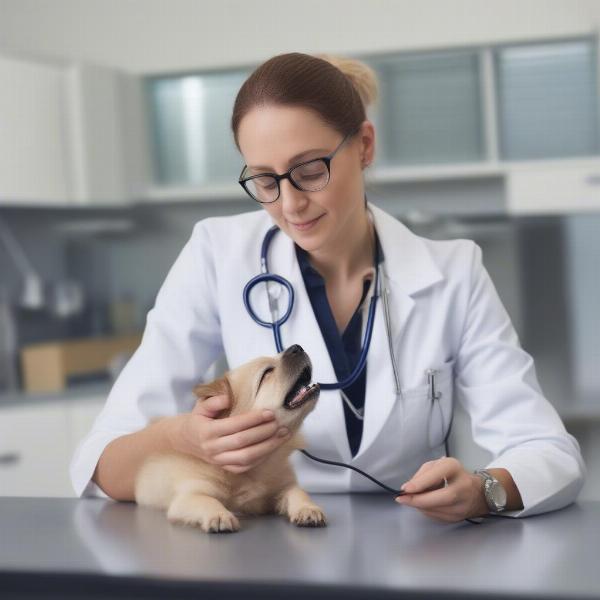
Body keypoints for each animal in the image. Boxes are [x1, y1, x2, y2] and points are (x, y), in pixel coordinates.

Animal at [135, 344, 328, 532]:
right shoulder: (188, 497)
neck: (257, 468)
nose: (297, 347)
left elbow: (297, 492)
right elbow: (207, 500)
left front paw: (307, 508)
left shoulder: (281, 489)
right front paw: (219, 515)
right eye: (266, 373)